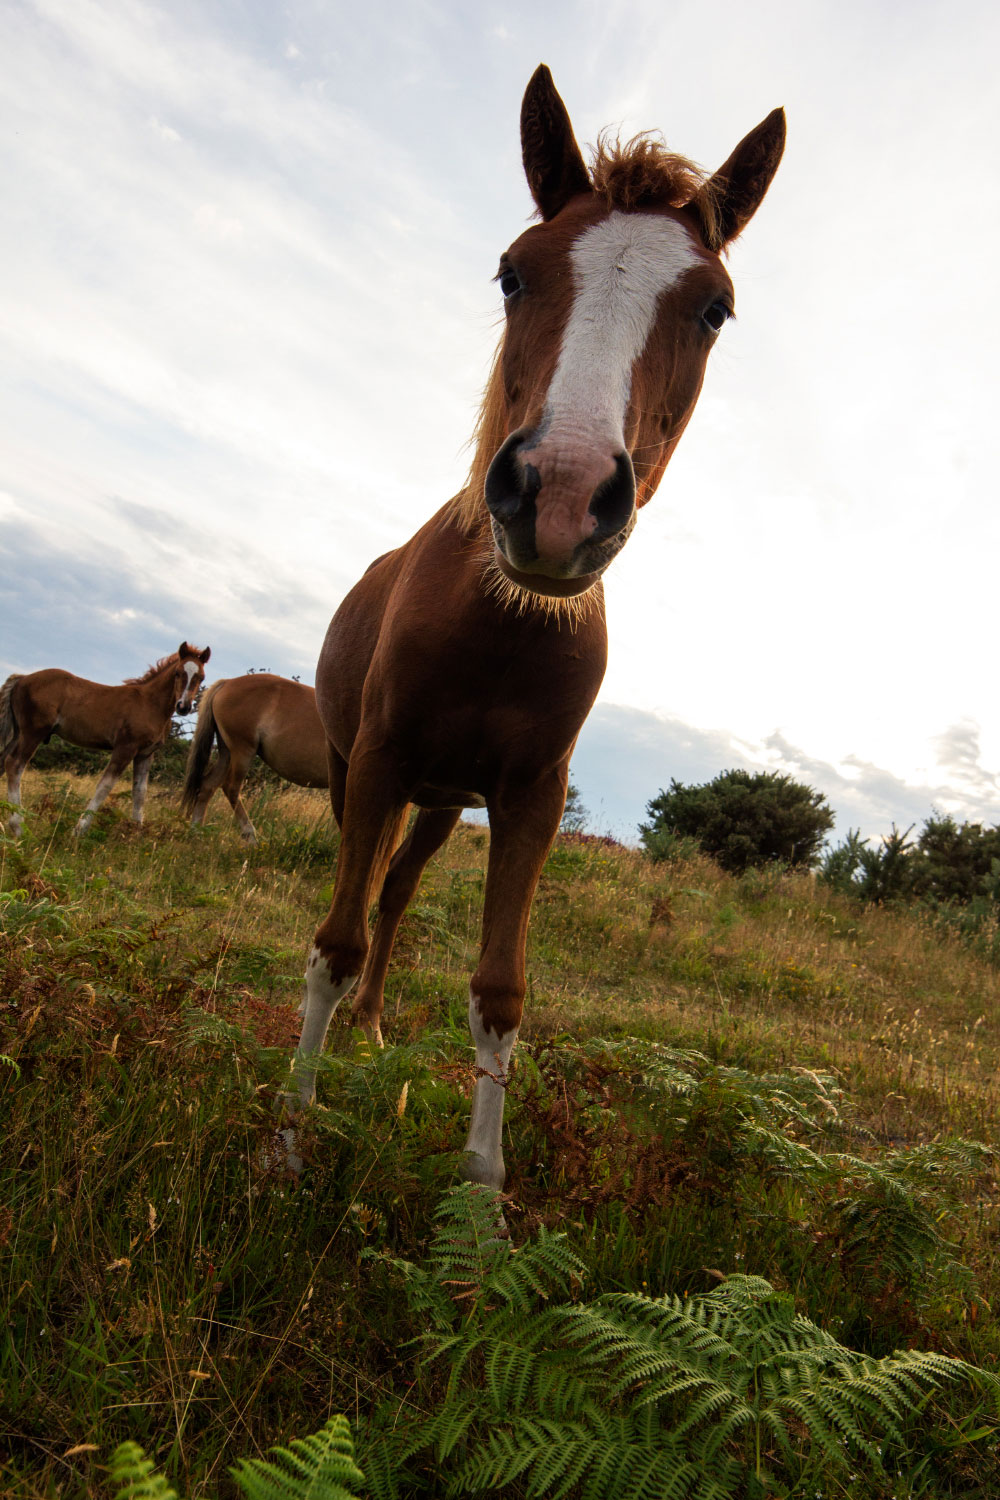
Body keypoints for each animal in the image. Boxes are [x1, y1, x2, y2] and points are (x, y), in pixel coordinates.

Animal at [0, 639, 209, 840]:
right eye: (178, 673)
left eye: (201, 677)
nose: (183, 706)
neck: (149, 704)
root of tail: (22, 679)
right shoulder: (125, 747)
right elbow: (105, 786)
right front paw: (79, 830)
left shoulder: (145, 754)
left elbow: (140, 792)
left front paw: (136, 833)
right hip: (33, 732)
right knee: (15, 765)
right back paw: (18, 827)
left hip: (18, 733)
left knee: (4, 762)